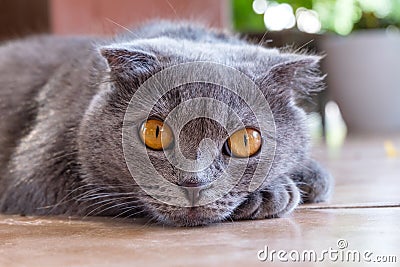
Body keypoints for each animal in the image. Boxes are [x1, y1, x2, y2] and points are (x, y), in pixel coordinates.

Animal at [0, 21, 332, 226]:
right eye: (155, 133)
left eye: (246, 141)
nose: (194, 183)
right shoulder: (37, 175)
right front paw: (274, 193)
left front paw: (306, 176)